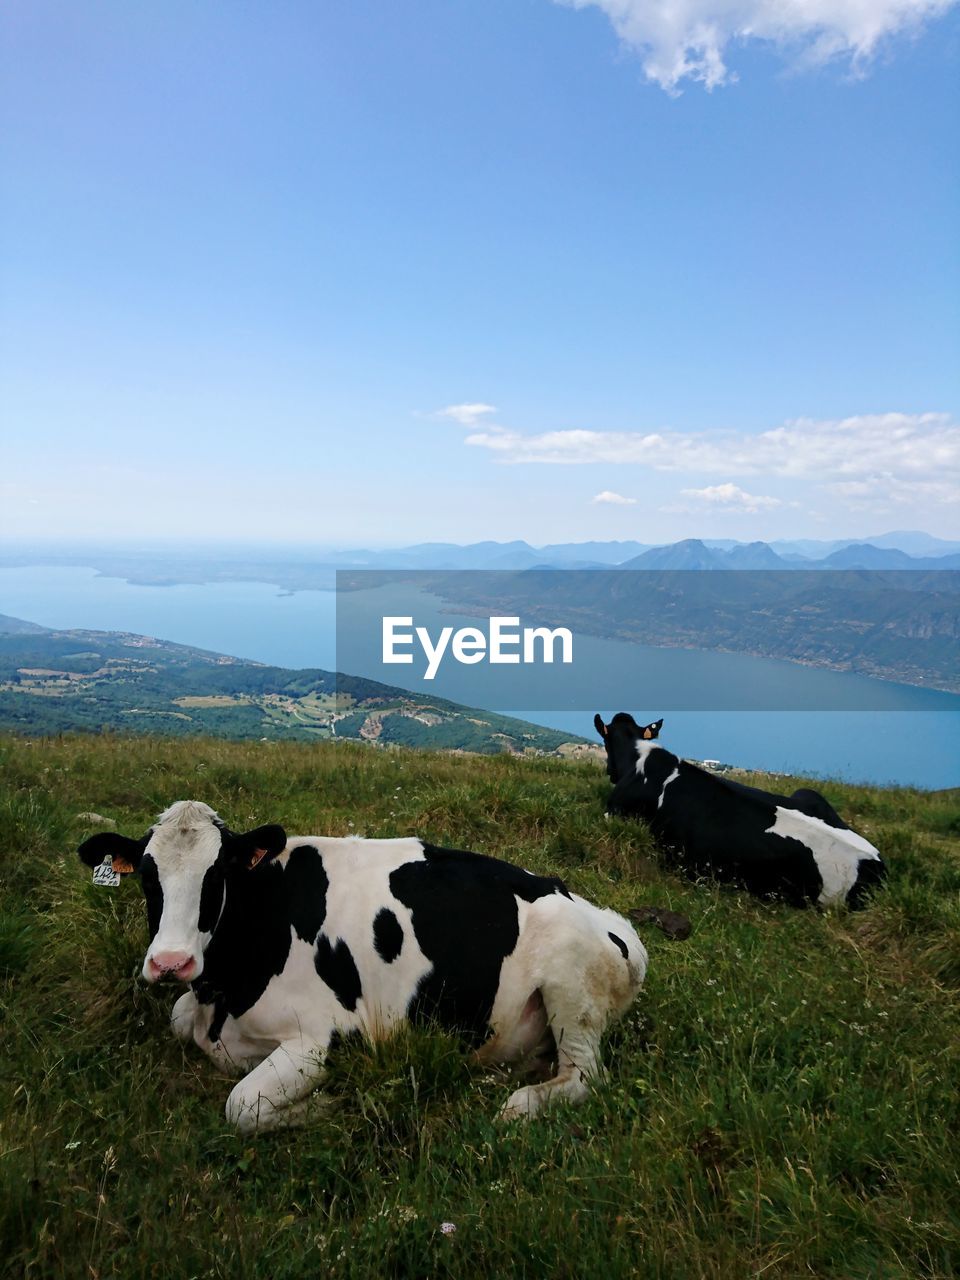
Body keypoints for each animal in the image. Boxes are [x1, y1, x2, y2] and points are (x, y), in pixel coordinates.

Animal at [75, 803, 647, 1136]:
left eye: (218, 875)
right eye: (148, 876)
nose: (171, 963)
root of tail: (593, 909)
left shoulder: (326, 1036)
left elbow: (241, 1107)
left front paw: (328, 1105)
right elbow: (177, 1019)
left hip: (571, 988)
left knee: (584, 1078)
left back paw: (522, 1103)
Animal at [593, 711, 885, 911]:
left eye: (606, 741)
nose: (610, 772)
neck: (642, 760)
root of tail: (875, 863)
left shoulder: (615, 812)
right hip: (808, 793)